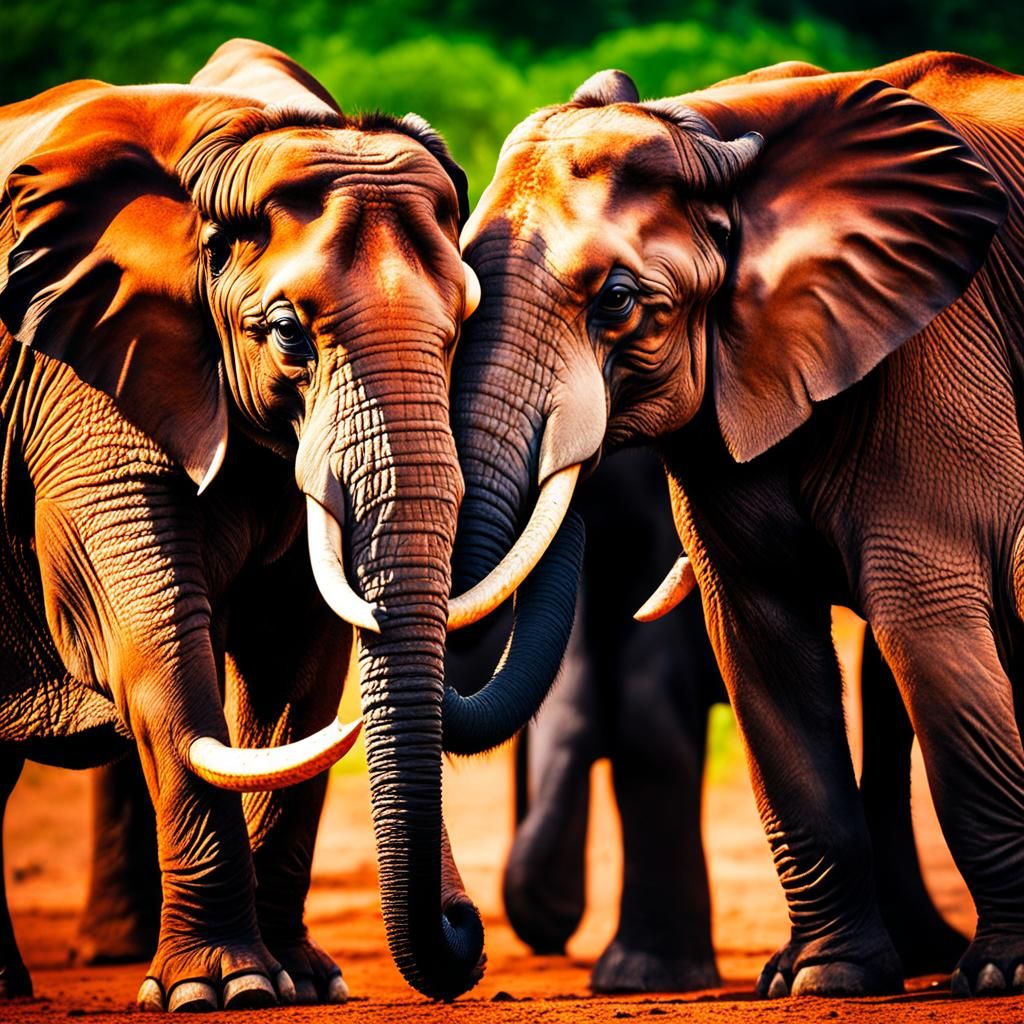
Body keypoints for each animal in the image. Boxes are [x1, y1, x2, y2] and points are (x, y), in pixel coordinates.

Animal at [0, 39, 583, 1011]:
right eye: (285, 333)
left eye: (465, 325)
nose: (464, 928)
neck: (232, 143)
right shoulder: (79, 383)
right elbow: (149, 647)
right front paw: (223, 990)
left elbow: (297, 665)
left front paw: (306, 985)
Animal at [451, 53, 1024, 1000]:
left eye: (617, 301)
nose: (468, 932)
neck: (713, 121)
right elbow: (759, 646)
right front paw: (826, 981)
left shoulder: (939, 352)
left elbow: (927, 628)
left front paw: (1000, 975)